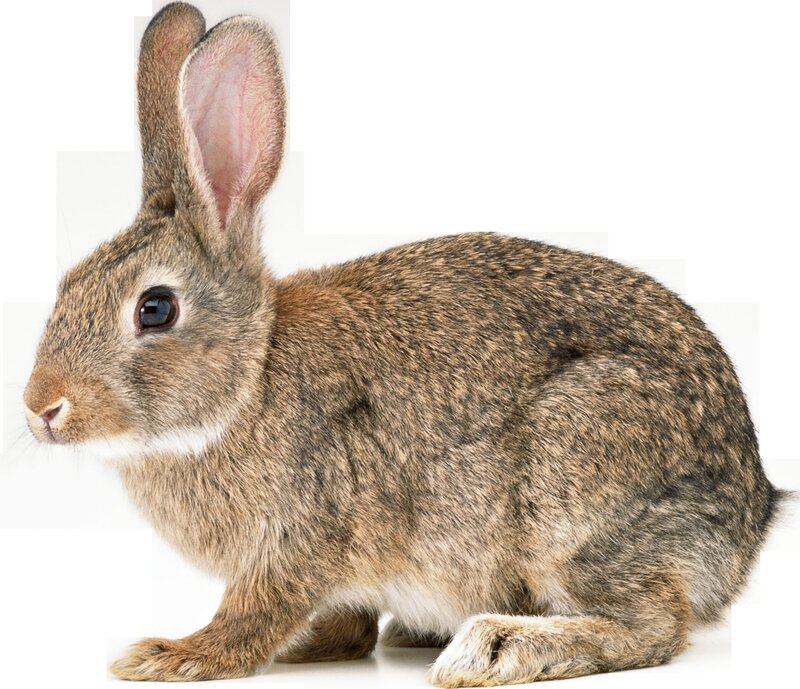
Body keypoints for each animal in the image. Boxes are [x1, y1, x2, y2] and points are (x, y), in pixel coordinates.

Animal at [22, 2, 785, 686]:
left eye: (154, 309)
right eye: (67, 284)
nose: (40, 408)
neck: (249, 379)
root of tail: (750, 517)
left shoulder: (300, 535)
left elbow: (254, 614)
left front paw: (171, 655)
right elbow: (344, 624)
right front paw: (312, 647)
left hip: (575, 489)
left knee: (651, 626)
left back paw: (496, 647)